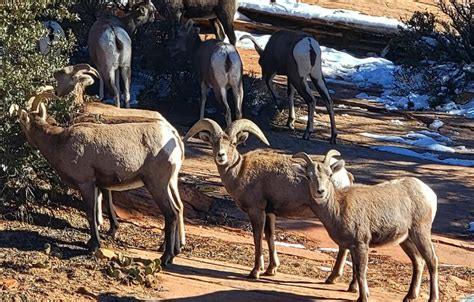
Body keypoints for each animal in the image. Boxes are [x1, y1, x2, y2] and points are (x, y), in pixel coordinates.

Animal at [18, 102, 186, 266]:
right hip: (169, 183)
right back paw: (174, 253)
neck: (60, 143)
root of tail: (173, 137)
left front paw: (93, 245)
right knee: (178, 209)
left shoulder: (86, 183)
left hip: (157, 184)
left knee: (171, 214)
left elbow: (91, 213)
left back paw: (166, 258)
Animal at [183, 118, 354, 280]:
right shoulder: (269, 212)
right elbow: (269, 236)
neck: (239, 171)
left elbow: (257, 238)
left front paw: (255, 272)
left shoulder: (256, 211)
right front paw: (271, 269)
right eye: (213, 142)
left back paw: (332, 277)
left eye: (233, 143)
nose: (221, 155)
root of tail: (343, 175)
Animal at [294, 151, 438, 302]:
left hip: (421, 233)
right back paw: (409, 296)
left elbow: (361, 271)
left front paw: (362, 297)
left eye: (330, 175)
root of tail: (430, 194)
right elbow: (356, 270)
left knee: (432, 261)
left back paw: (432, 298)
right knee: (418, 261)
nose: (320, 191)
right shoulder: (352, 246)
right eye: (309, 176)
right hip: (406, 240)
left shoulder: (361, 243)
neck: (338, 208)